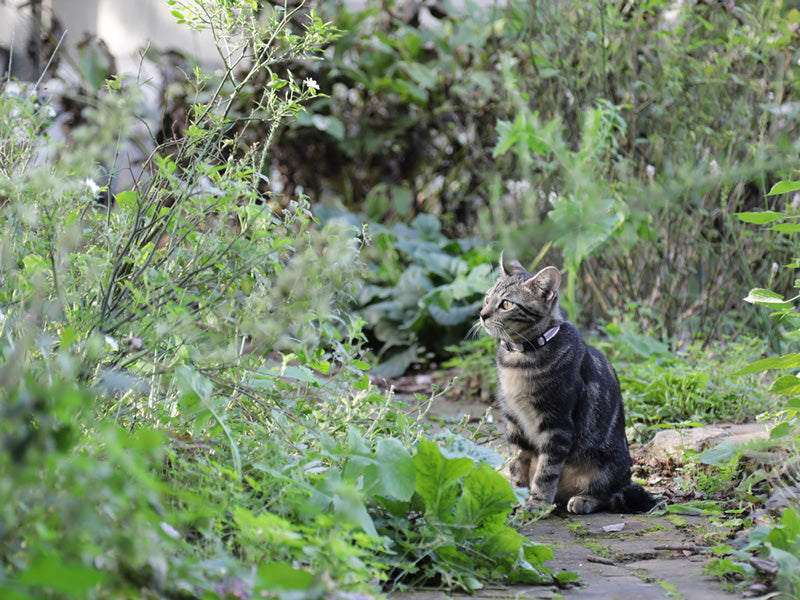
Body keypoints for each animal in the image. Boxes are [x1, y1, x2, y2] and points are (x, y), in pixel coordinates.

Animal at [478, 255, 652, 512]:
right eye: (487, 298)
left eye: (506, 304)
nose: (482, 314)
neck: (520, 358)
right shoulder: (513, 422)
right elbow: (517, 465)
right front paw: (516, 495)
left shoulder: (557, 423)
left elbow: (546, 471)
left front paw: (537, 503)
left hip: (610, 464)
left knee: (611, 494)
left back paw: (583, 500)